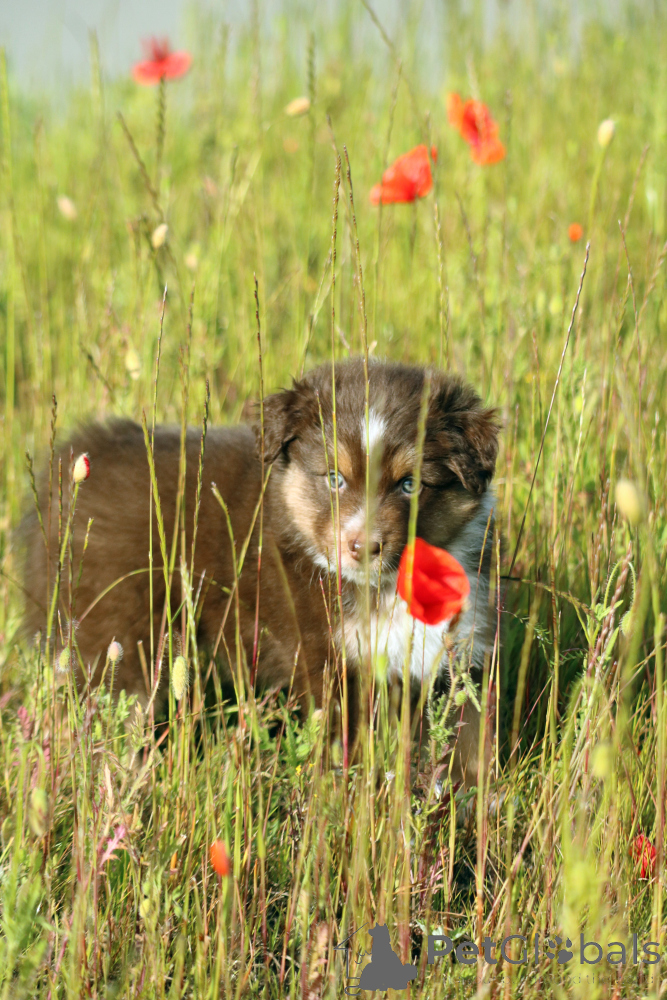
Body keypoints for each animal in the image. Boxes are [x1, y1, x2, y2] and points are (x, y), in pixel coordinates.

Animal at [22, 358, 498, 785]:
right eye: (334, 478)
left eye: (410, 484)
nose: (364, 547)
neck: (385, 589)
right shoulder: (326, 658)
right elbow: (346, 744)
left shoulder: (463, 652)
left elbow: (473, 743)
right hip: (116, 633)